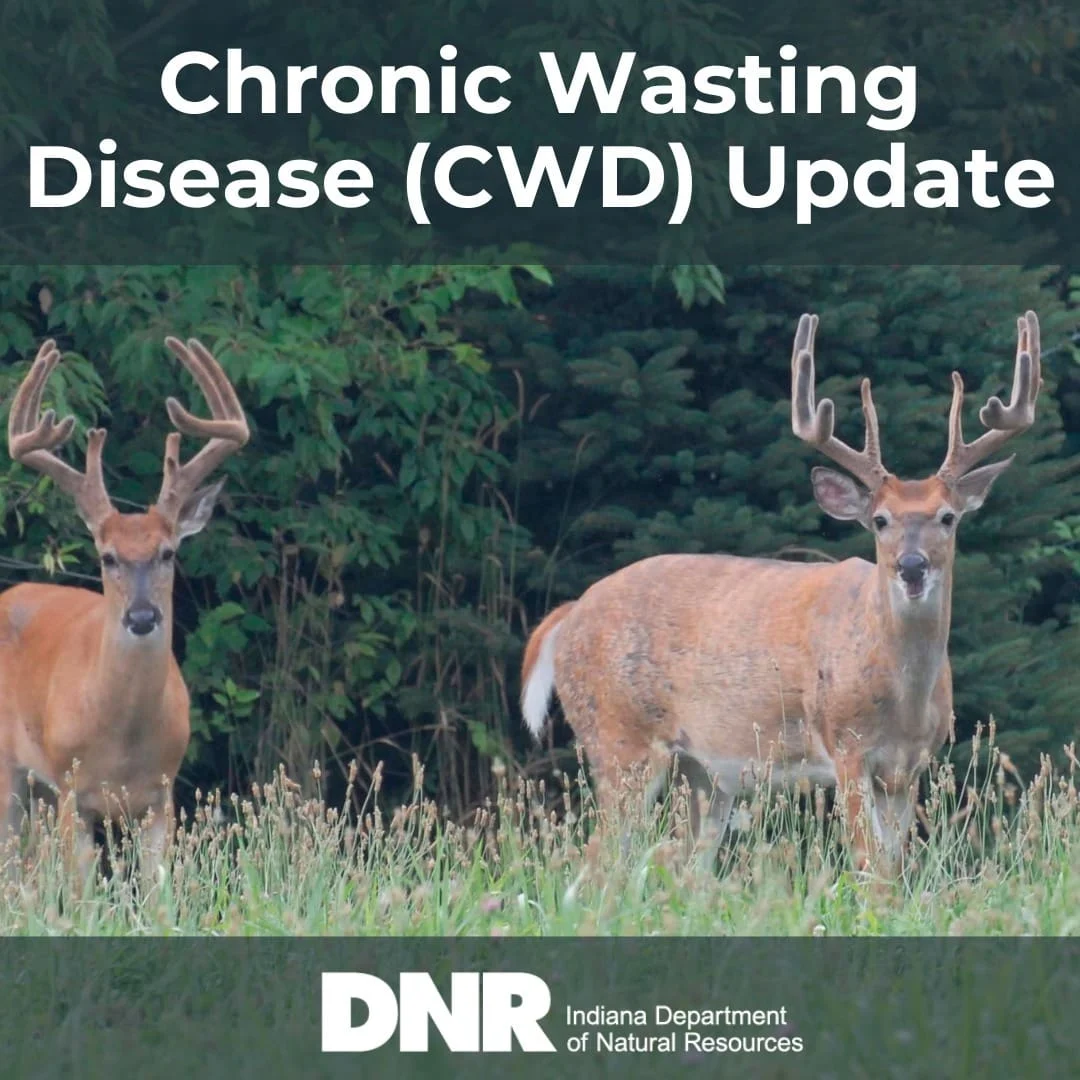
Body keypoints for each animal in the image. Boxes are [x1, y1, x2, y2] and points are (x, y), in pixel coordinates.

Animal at [0, 335, 249, 884]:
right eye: (107, 556)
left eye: (168, 552)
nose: (140, 617)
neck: (123, 742)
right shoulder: (74, 792)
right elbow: (82, 890)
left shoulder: (162, 795)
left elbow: (160, 891)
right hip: (13, 772)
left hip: (40, 792)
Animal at [521, 310, 1042, 877]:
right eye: (880, 520)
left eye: (948, 518)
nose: (911, 567)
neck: (902, 696)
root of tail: (569, 614)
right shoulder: (846, 746)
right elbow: (868, 866)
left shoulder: (909, 767)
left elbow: (892, 866)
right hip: (618, 737)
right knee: (596, 861)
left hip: (703, 770)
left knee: (682, 868)